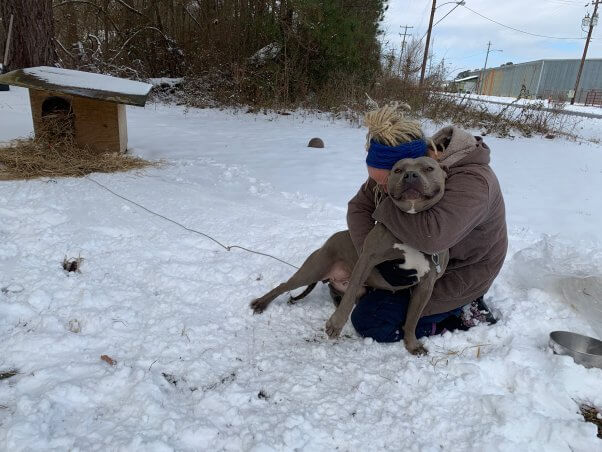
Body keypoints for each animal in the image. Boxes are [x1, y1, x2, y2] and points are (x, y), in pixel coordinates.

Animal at [248, 157, 446, 354]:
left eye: (429, 168)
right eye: (398, 170)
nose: (410, 175)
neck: (412, 224)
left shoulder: (426, 285)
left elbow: (413, 319)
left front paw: (412, 345)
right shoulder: (366, 260)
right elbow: (349, 297)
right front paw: (335, 324)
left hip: (357, 287)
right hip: (314, 269)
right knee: (284, 285)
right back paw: (260, 303)